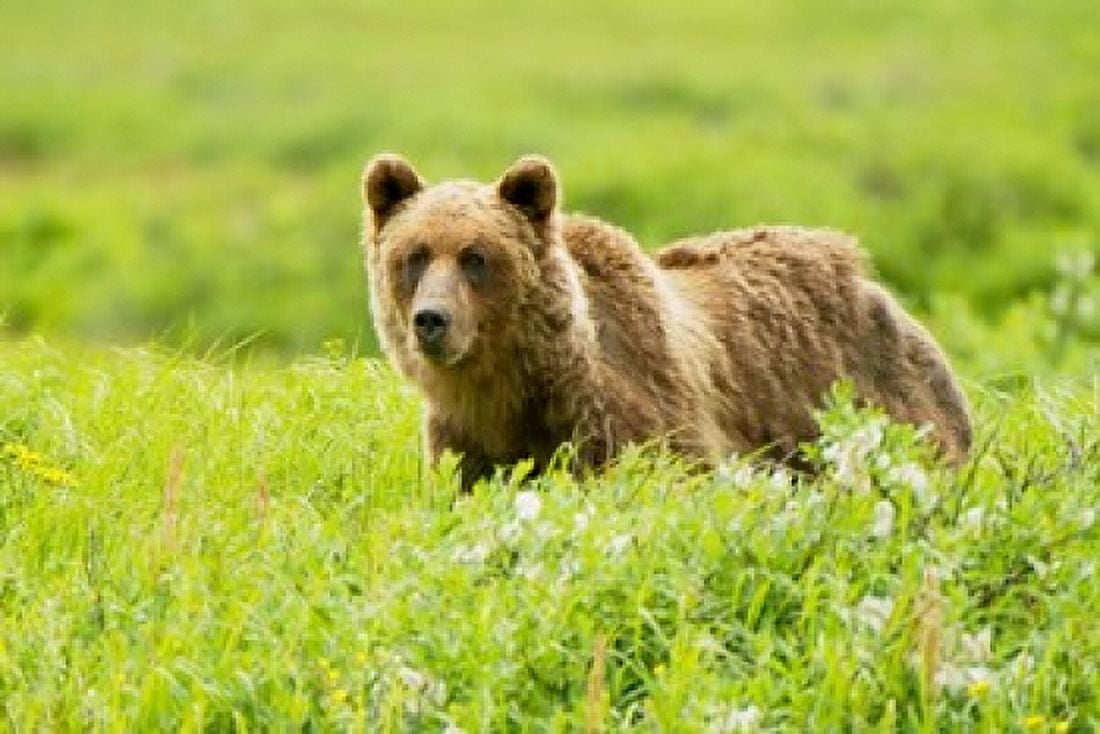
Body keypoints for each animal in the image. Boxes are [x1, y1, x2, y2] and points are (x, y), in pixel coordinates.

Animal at [361, 154, 972, 488]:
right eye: (414, 255)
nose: (431, 320)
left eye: (476, 257)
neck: (516, 385)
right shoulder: (467, 438)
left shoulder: (629, 410)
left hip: (878, 403)